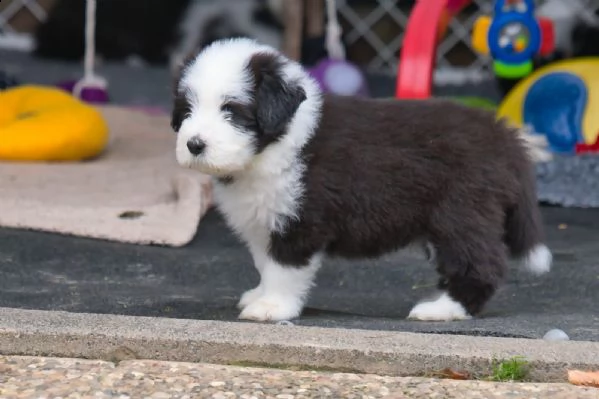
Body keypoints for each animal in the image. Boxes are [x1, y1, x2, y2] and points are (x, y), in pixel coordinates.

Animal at [170, 37, 552, 324]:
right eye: (187, 110)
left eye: (232, 111)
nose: (194, 144)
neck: (277, 143)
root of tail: (504, 137)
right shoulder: (264, 220)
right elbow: (265, 263)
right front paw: (260, 295)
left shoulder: (299, 220)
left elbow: (283, 267)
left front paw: (272, 307)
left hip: (461, 214)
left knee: (481, 265)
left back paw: (442, 309)